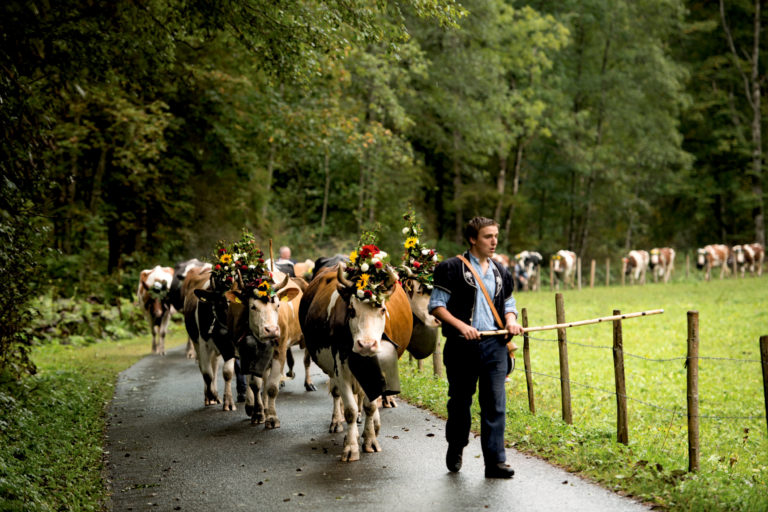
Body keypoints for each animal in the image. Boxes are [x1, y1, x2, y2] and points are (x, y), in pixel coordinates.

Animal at [298, 234, 414, 462]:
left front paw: (370, 439)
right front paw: (351, 447)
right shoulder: (340, 366)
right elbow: (350, 409)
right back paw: (336, 421)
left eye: (382, 309)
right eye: (351, 310)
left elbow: (369, 405)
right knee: (336, 393)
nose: (366, 344)